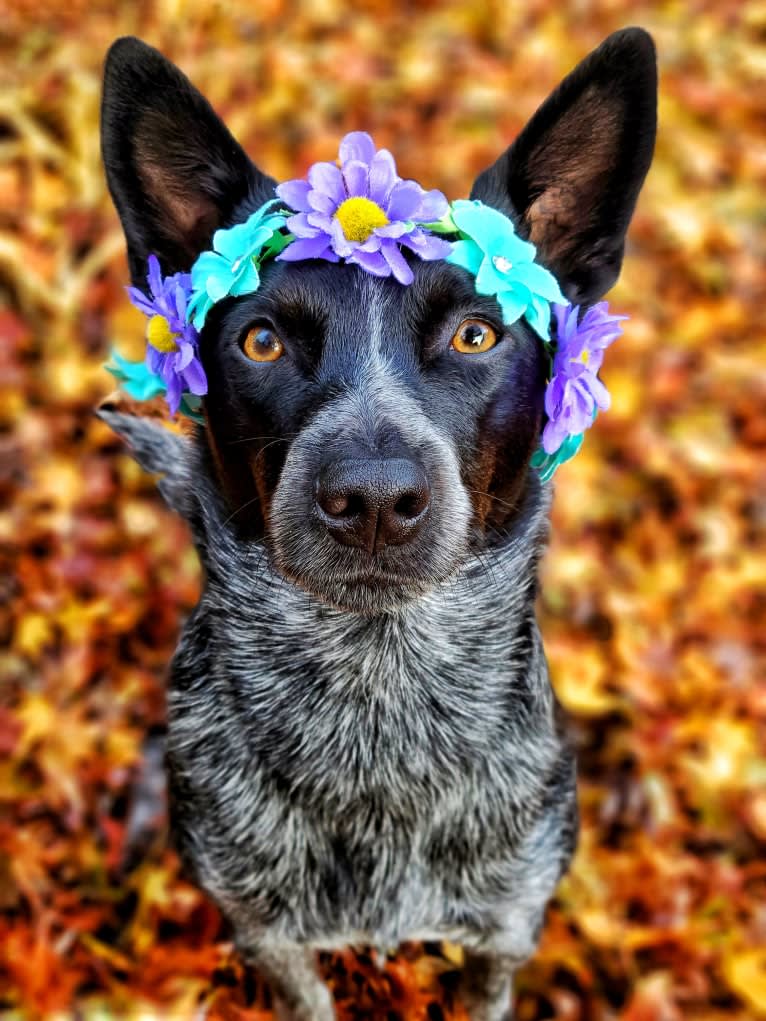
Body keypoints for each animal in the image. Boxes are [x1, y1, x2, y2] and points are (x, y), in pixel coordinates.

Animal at [97, 27, 661, 1016]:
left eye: (476, 334)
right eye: (262, 341)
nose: (371, 499)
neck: (376, 709)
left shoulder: (505, 930)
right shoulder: (269, 934)